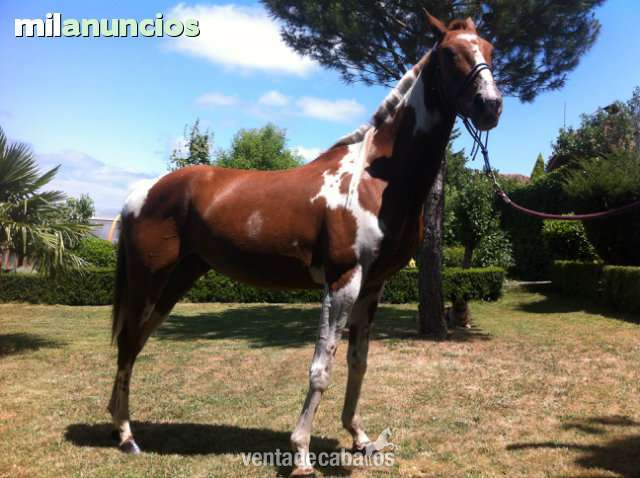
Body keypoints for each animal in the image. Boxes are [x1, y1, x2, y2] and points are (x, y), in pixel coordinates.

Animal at [107, 12, 502, 477]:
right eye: (450, 53)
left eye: (489, 49)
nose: (490, 105)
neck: (373, 180)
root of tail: (141, 194)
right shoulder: (342, 282)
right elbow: (321, 368)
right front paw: (300, 454)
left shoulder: (373, 286)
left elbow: (358, 362)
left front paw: (360, 438)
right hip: (148, 280)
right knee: (128, 343)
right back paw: (127, 436)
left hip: (178, 280)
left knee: (137, 342)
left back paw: (120, 426)